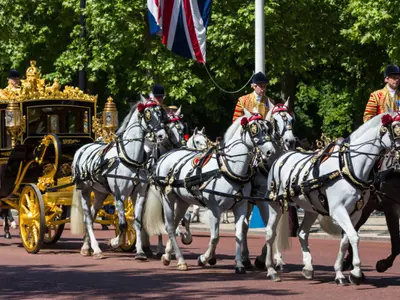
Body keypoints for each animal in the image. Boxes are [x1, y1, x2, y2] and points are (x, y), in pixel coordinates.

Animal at [70, 99, 169, 258]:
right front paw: (115, 242)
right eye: (148, 115)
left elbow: (138, 222)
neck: (129, 158)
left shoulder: (139, 194)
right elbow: (123, 223)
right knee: (87, 219)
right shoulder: (119, 195)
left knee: (91, 215)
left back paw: (86, 247)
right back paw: (96, 249)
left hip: (99, 193)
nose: (162, 136)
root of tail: (82, 148)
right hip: (84, 190)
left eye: (161, 114)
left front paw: (140, 251)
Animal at [144, 112, 278, 272]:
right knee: (170, 227)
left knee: (175, 224)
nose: (271, 152)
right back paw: (181, 260)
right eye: (254, 130)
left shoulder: (241, 206)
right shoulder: (214, 209)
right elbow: (215, 237)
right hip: (168, 198)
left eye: (269, 129)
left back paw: (167, 255)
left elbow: (239, 234)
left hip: (182, 201)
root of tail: (165, 156)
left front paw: (239, 264)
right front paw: (204, 258)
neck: (228, 169)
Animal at [258, 113, 398, 284]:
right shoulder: (338, 210)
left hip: (311, 208)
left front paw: (339, 272)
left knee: (302, 232)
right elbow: (354, 237)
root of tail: (281, 157)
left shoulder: (355, 213)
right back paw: (271, 269)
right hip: (275, 205)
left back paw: (308, 268)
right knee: (270, 233)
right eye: (397, 129)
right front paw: (356, 272)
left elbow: (346, 240)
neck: (347, 166)